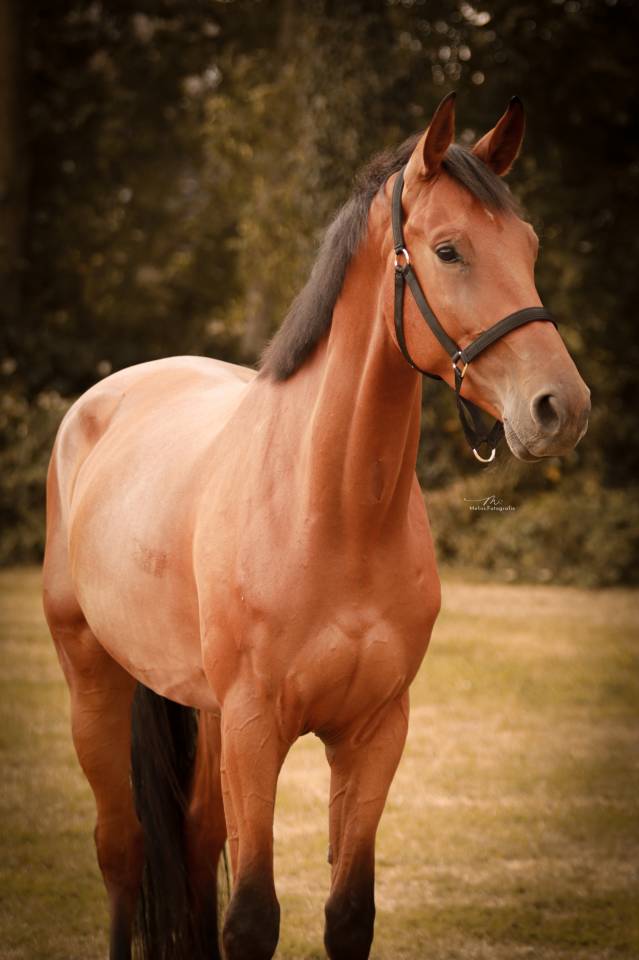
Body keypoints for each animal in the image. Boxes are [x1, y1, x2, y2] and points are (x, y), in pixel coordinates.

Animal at [42, 92, 590, 960]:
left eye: (529, 246)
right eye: (448, 250)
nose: (558, 408)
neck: (330, 511)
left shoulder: (372, 733)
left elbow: (348, 914)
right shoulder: (255, 731)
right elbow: (251, 918)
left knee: (193, 842)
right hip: (93, 680)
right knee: (122, 852)